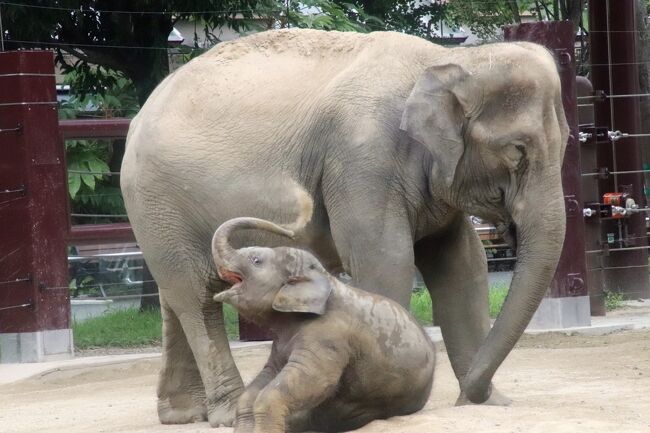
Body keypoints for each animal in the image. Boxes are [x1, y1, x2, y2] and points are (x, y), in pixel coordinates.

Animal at [213, 216, 436, 432]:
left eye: (256, 260)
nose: (290, 232)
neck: (323, 276)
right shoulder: (281, 344)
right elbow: (266, 376)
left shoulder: (328, 334)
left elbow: (312, 379)